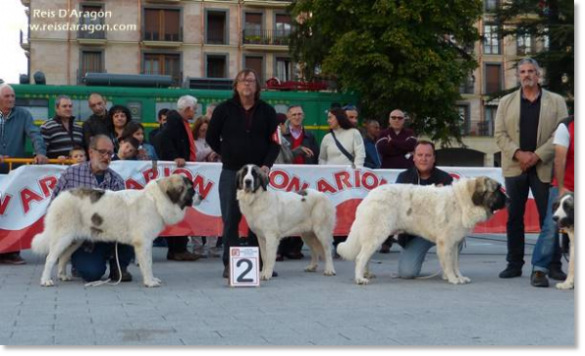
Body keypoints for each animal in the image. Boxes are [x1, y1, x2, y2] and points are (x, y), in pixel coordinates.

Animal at [32, 174, 201, 288]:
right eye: (191, 189)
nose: (201, 196)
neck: (156, 200)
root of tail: (59, 197)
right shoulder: (144, 243)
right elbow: (148, 263)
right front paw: (149, 281)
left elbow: (148, 263)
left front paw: (151, 279)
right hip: (63, 237)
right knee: (50, 258)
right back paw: (46, 280)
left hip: (74, 240)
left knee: (63, 257)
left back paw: (63, 276)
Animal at [338, 178, 506, 286]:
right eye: (497, 190)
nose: (509, 199)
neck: (462, 202)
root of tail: (369, 196)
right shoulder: (446, 243)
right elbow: (449, 264)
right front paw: (453, 279)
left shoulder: (455, 243)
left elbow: (455, 263)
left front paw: (459, 277)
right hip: (378, 233)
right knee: (360, 257)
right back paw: (360, 278)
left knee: (365, 256)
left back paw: (366, 274)